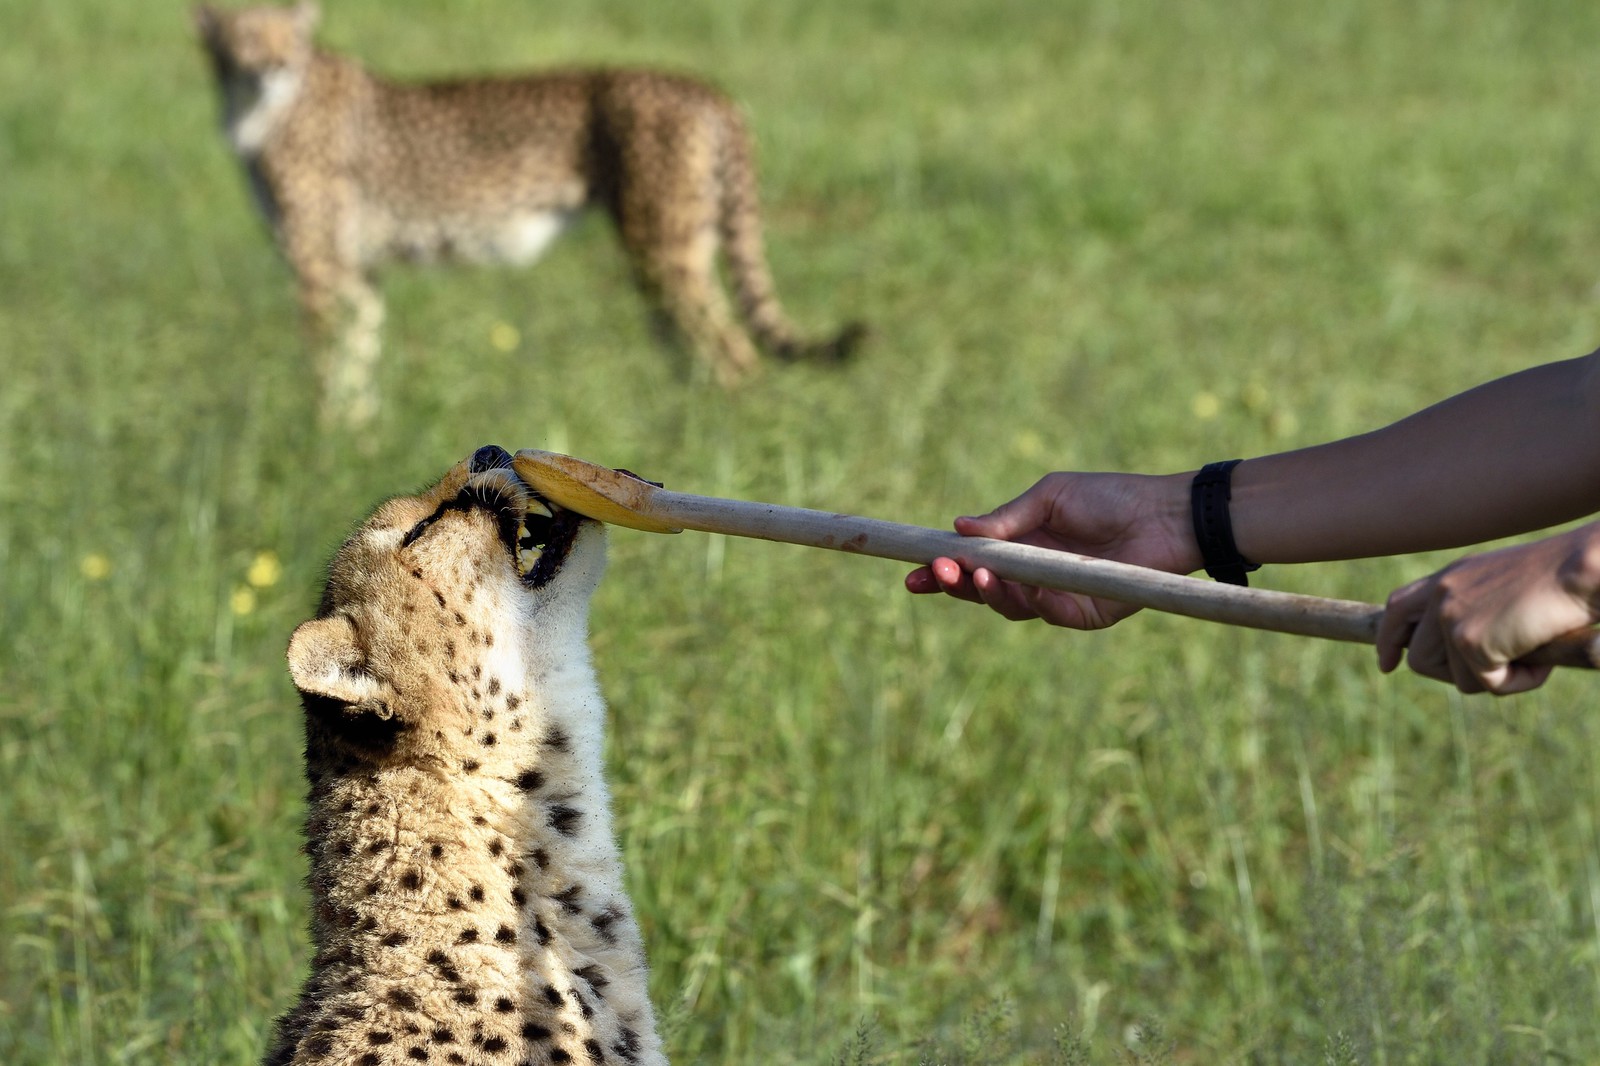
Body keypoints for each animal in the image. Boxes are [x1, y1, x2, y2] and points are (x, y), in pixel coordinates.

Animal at [196, 2, 864, 425]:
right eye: (246, 38)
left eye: (288, 38)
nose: (274, 65)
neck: (256, 108)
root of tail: (700, 85)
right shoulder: (357, 269)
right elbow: (358, 358)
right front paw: (355, 441)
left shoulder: (317, 264)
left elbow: (323, 361)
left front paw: (320, 443)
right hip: (670, 249)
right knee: (693, 348)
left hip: (662, 244)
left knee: (732, 353)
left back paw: (724, 445)